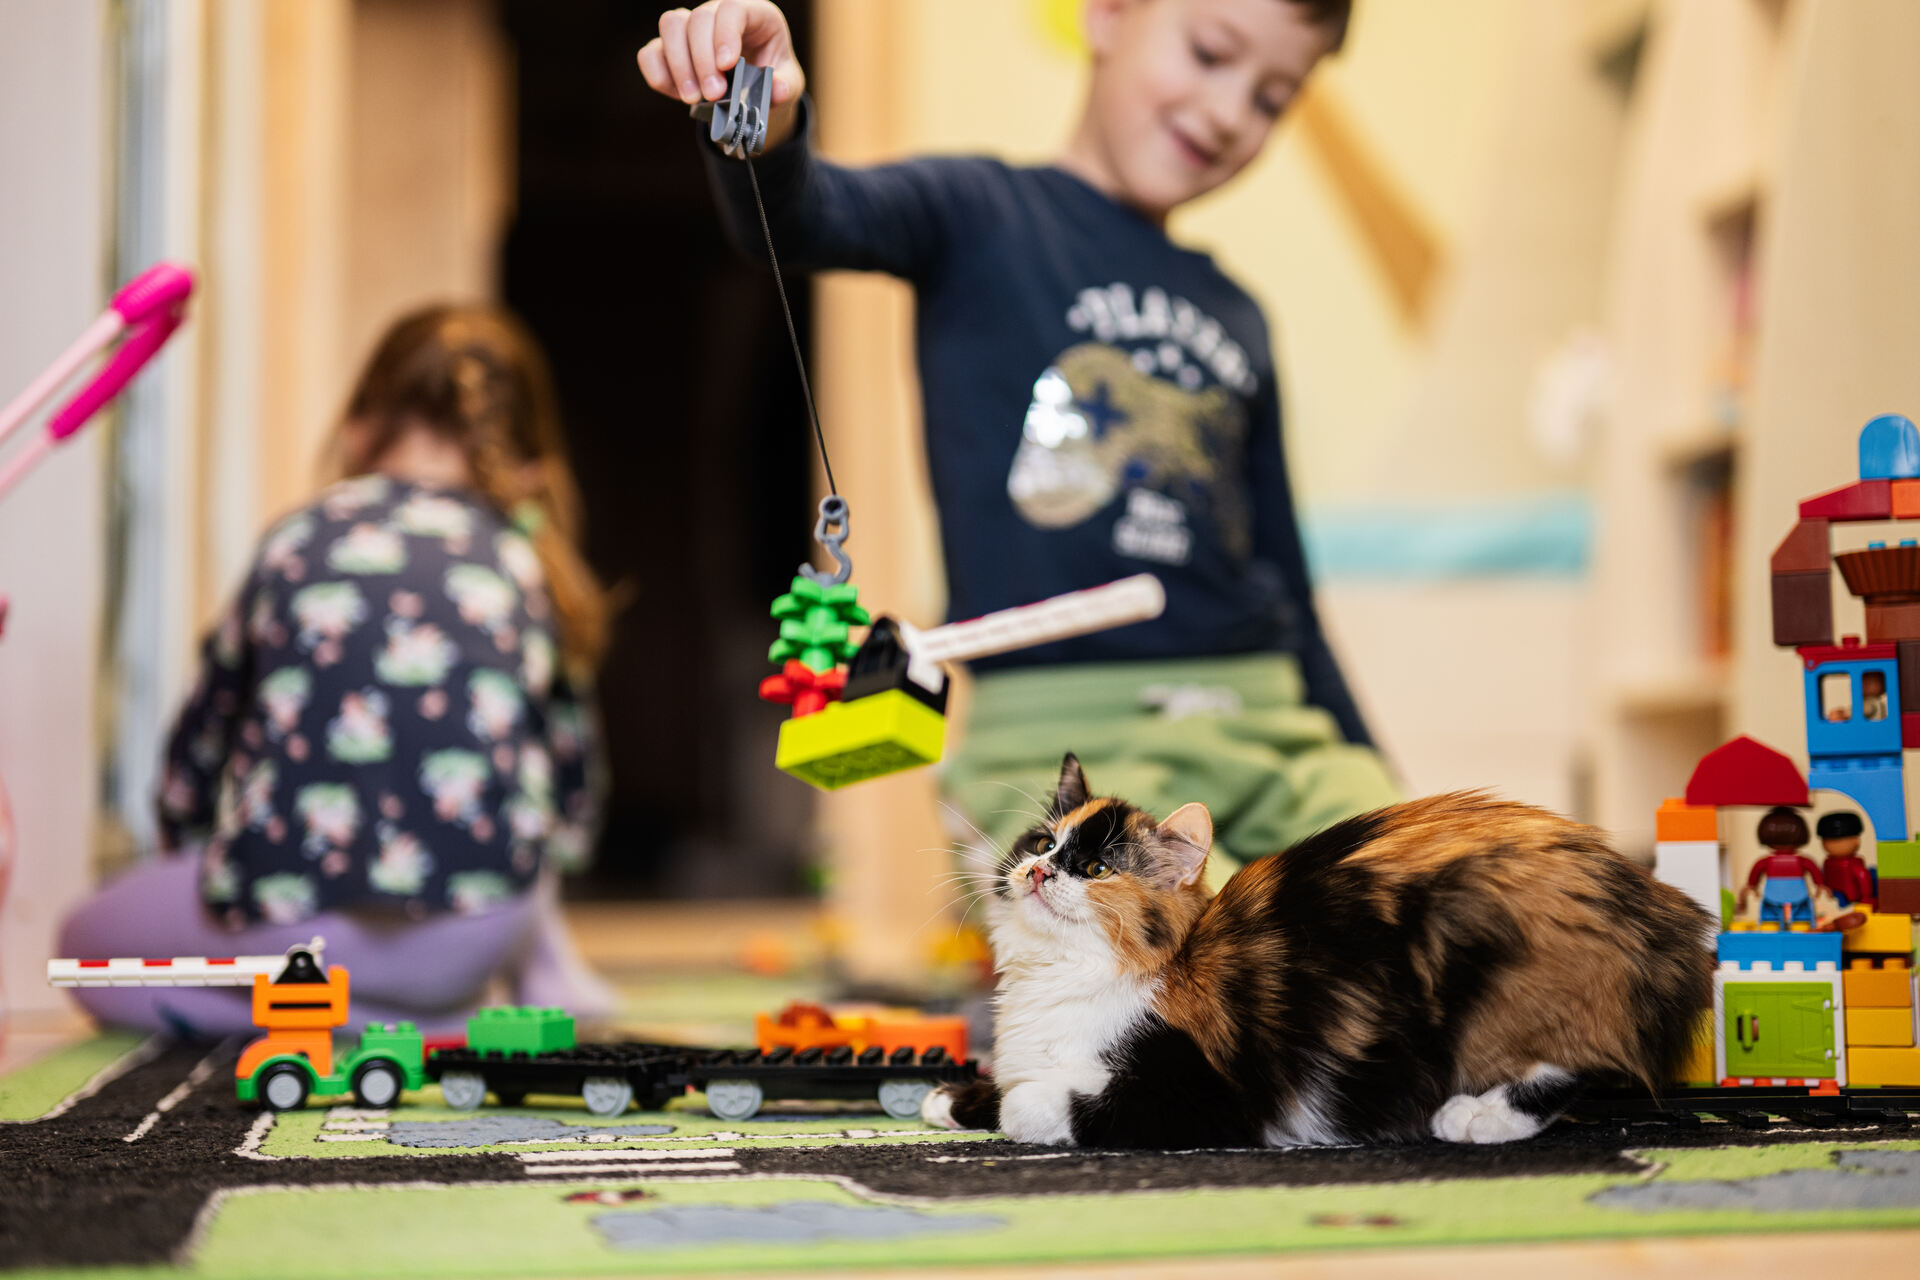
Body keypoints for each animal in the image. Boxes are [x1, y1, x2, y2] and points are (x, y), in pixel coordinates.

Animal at [921, 756, 1720, 1143]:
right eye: (1040, 842)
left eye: (1093, 868)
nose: (1037, 872)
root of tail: (1654, 901)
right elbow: (1009, 1077)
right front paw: (952, 1097)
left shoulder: (1209, 1095)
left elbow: (1034, 1103)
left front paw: (1004, 1105)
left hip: (1476, 939)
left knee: (1581, 1061)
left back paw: (1478, 1118)